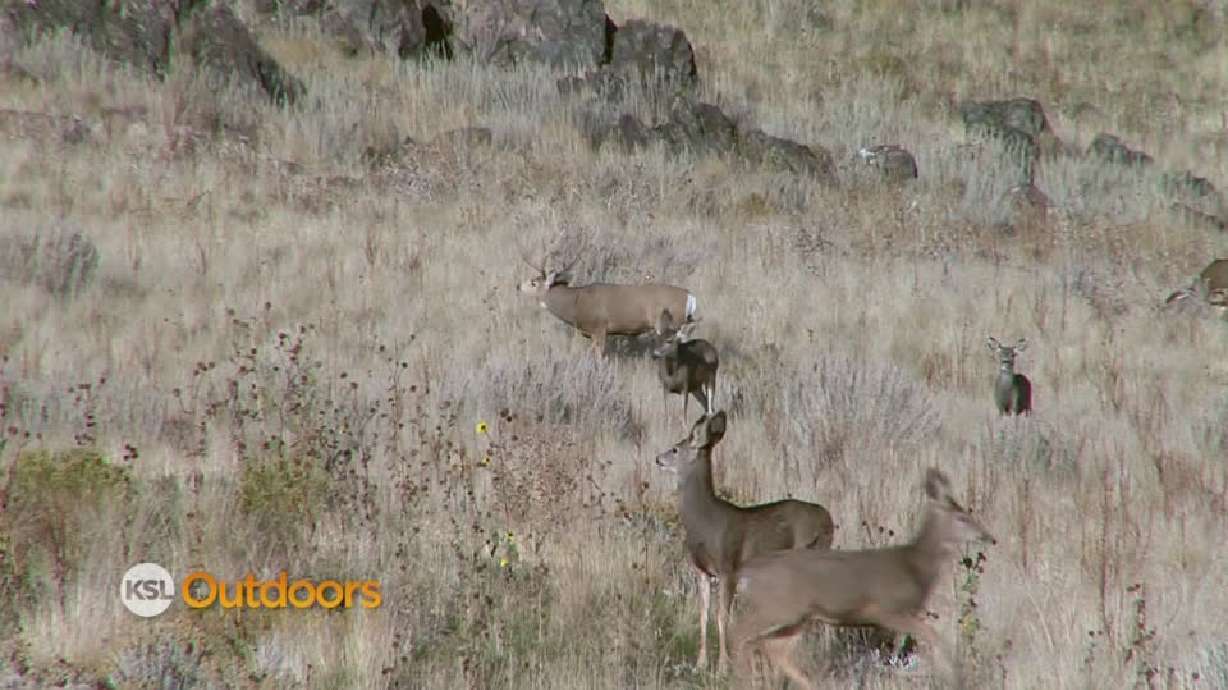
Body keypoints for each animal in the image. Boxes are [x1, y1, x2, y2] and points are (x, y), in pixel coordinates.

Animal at [516, 250, 697, 356]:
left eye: (533, 282)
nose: (518, 286)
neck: (576, 302)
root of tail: (690, 295)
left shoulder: (600, 327)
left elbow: (600, 355)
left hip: (674, 322)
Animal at [654, 411, 834, 673]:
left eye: (676, 448)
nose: (658, 459)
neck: (704, 522)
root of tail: (828, 519)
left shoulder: (728, 566)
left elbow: (722, 616)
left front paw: (722, 666)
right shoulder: (702, 571)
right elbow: (703, 614)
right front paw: (700, 664)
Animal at [731, 468, 996, 690]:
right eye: (962, 518)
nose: (989, 537)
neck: (915, 566)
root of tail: (745, 573)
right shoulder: (887, 610)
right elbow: (932, 637)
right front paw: (953, 676)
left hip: (799, 616)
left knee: (771, 647)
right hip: (778, 607)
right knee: (740, 634)